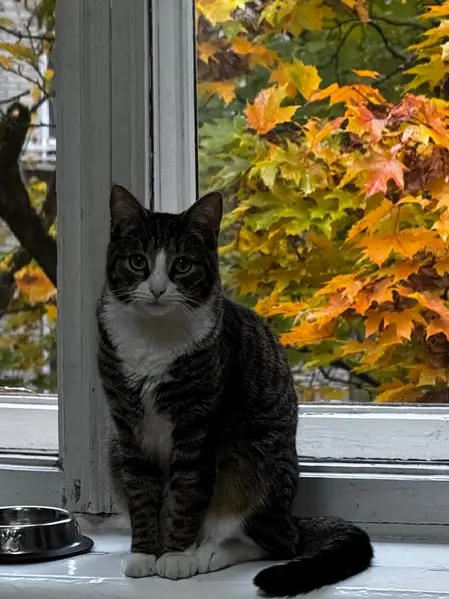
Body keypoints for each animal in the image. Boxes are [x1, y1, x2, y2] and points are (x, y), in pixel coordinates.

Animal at [96, 184, 373, 597]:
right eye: (137, 261)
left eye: (182, 265)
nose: (158, 289)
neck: (153, 341)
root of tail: (290, 518)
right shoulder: (127, 424)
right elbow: (141, 489)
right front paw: (145, 553)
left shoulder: (198, 424)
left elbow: (188, 490)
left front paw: (176, 556)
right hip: (113, 448)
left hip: (252, 461)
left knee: (272, 541)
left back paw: (208, 552)